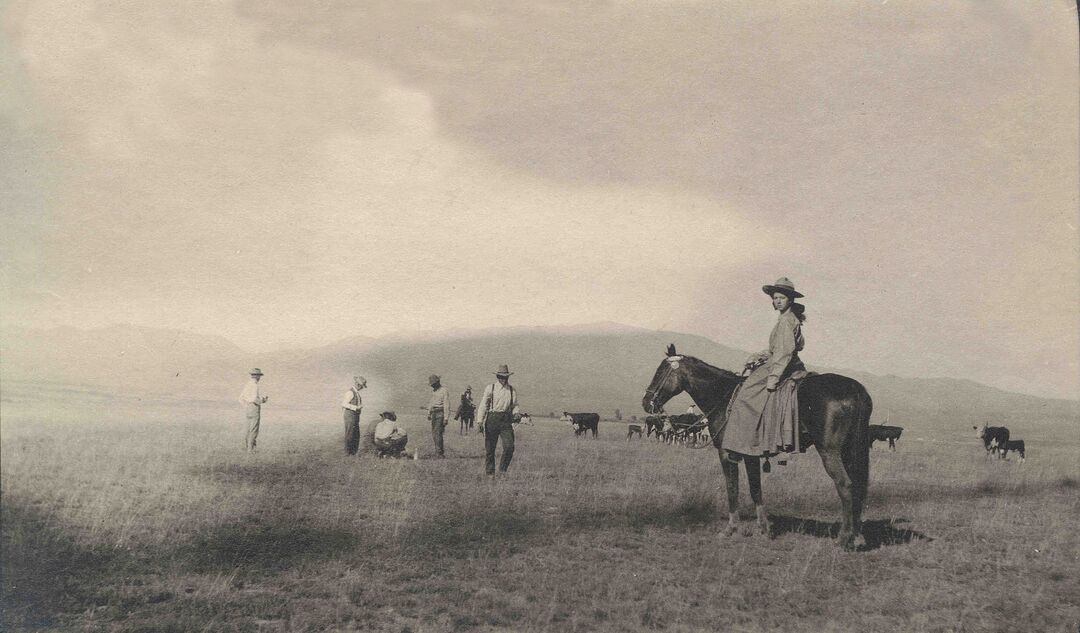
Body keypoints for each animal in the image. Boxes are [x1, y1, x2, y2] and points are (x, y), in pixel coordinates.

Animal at [643, 343, 872, 544]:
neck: (723, 397)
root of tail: (856, 389)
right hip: (850, 450)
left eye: (660, 372)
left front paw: (731, 529)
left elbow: (732, 488)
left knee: (845, 484)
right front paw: (764, 529)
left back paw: (843, 538)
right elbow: (756, 490)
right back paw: (858, 536)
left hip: (830, 451)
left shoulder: (727, 454)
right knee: (857, 484)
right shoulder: (749, 455)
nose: (646, 403)